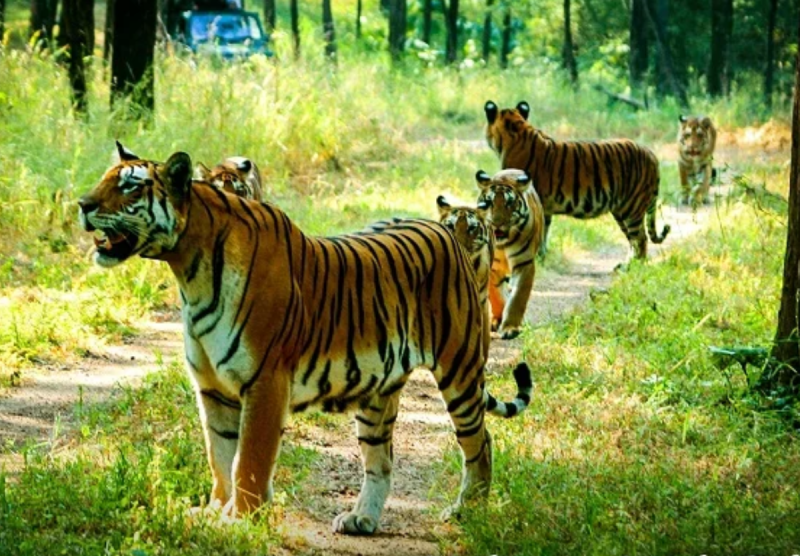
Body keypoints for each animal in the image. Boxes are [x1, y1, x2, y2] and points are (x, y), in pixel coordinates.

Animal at [77, 141, 534, 536]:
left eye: (131, 186)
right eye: (104, 179)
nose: (83, 205)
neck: (189, 268)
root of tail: (449, 232)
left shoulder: (264, 380)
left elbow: (249, 459)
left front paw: (240, 519)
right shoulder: (211, 388)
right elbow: (219, 456)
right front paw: (214, 510)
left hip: (459, 369)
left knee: (480, 442)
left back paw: (467, 510)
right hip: (377, 392)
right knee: (381, 459)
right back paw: (362, 519)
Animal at [475, 169, 545, 340]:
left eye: (509, 203)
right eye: (489, 202)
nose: (497, 223)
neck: (503, 245)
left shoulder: (524, 264)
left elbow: (518, 298)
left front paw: (510, 327)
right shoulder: (491, 267)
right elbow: (497, 297)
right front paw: (498, 319)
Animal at [484, 100, 671, 261]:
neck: (517, 130)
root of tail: (652, 154)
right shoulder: (544, 207)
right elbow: (544, 230)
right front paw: (541, 256)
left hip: (632, 208)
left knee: (640, 240)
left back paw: (631, 268)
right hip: (622, 209)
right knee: (633, 241)